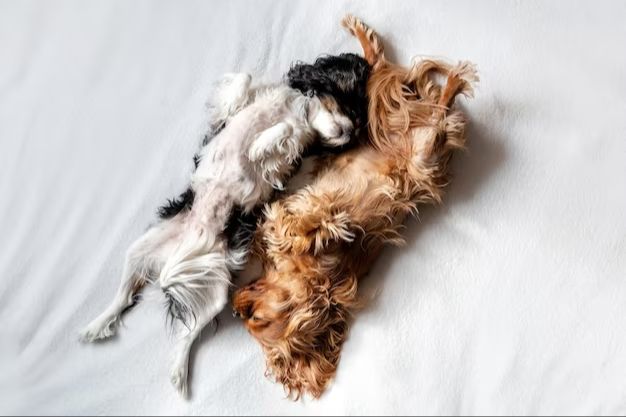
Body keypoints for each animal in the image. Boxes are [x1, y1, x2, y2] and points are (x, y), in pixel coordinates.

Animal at [80, 53, 368, 394]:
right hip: (140, 248)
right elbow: (244, 80)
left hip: (217, 288)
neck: (298, 109)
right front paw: (250, 126)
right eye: (349, 108)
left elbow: (282, 130)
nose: (349, 131)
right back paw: (96, 326)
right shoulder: (236, 113)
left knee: (188, 331)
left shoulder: (290, 154)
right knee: (123, 297)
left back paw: (178, 373)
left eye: (356, 123)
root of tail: (182, 252)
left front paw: (258, 146)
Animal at [232, 15, 476, 400]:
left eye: (255, 318)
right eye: (245, 320)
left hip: (416, 146)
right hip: (417, 142)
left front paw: (296, 230)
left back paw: (452, 76)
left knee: (394, 77)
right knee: (428, 101)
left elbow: (297, 224)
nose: (234, 307)